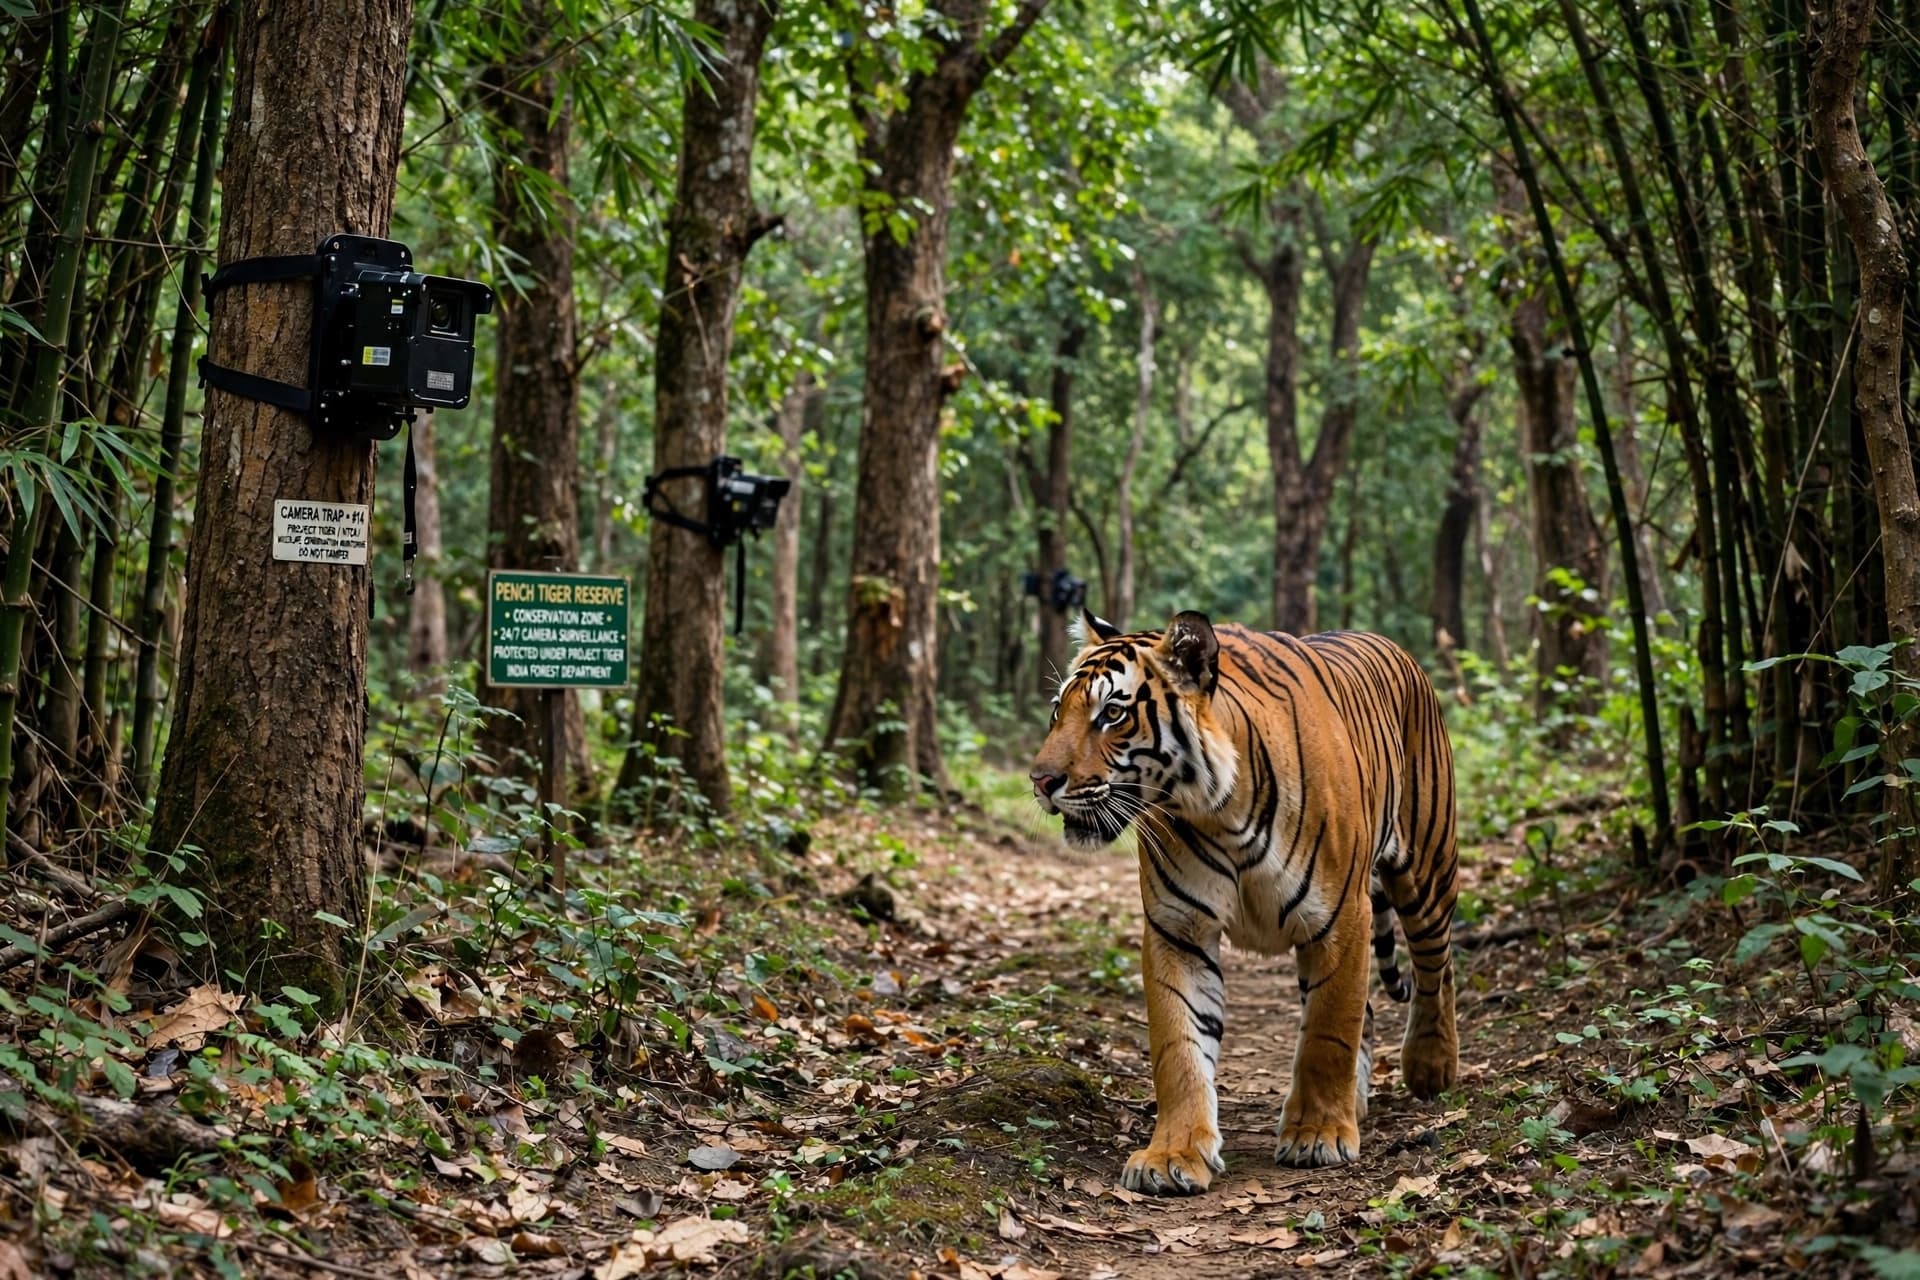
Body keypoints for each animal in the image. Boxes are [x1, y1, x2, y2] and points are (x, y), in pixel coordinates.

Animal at [1029, 609, 1459, 1195]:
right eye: (1058, 710)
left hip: (1426, 869)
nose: (1040, 780)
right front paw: (1173, 1154)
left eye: (1112, 713)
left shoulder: (1341, 918)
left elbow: (1328, 1030)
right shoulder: (1178, 928)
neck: (1217, 809)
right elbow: (1179, 1047)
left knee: (1437, 966)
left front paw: (1318, 1134)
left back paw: (1431, 1066)